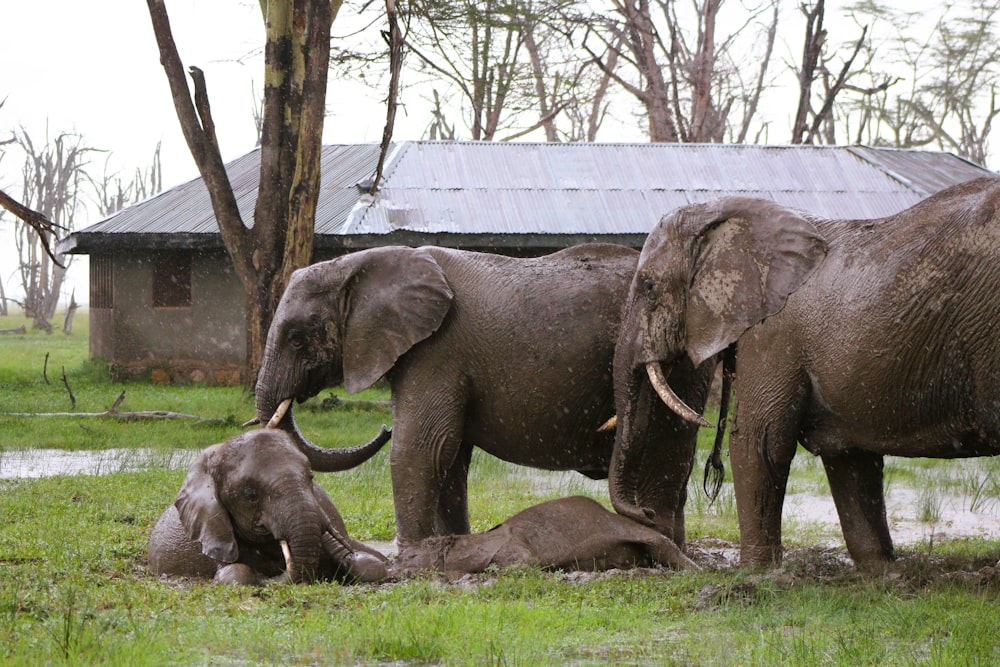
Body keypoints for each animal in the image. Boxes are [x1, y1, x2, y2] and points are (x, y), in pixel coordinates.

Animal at [254, 244, 716, 552]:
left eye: (297, 337)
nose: (380, 427)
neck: (359, 263)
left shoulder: (436, 350)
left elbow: (422, 447)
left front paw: (411, 560)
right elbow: (449, 456)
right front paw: (449, 548)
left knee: (668, 449)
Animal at [386, 496, 700, 580]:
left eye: (409, 555)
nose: (393, 569)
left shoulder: (515, 549)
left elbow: (518, 564)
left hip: (637, 531)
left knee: (664, 546)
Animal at [608, 174, 1000, 568]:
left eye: (649, 287)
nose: (647, 516)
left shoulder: (773, 332)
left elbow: (759, 440)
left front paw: (757, 573)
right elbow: (848, 455)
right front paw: (881, 572)